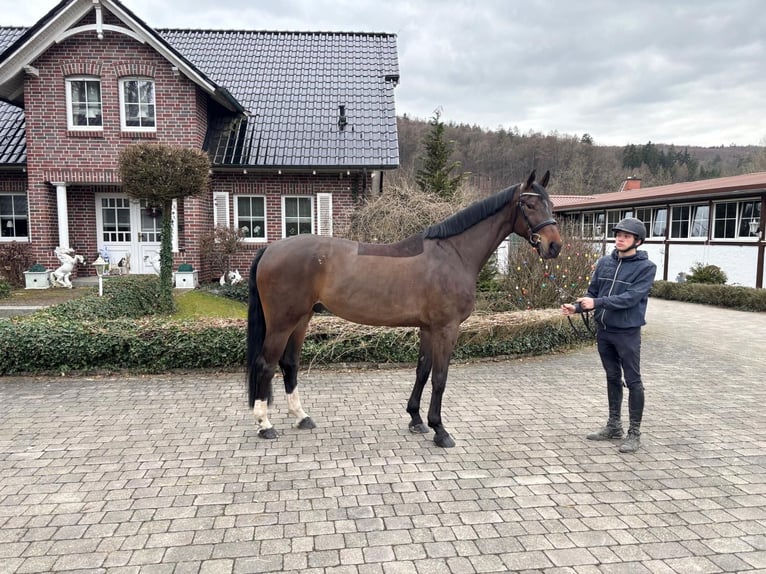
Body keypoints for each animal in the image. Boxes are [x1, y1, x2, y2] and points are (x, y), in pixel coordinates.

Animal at [247, 170, 562, 448]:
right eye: (530, 204)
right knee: (266, 364)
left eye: (551, 204)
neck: (454, 254)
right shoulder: (447, 329)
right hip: (282, 322)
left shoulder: (428, 328)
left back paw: (301, 417)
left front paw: (416, 420)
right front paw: (440, 430)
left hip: (301, 319)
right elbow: (440, 377)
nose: (554, 246)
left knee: (289, 363)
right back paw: (264, 424)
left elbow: (422, 371)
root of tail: (270, 249)